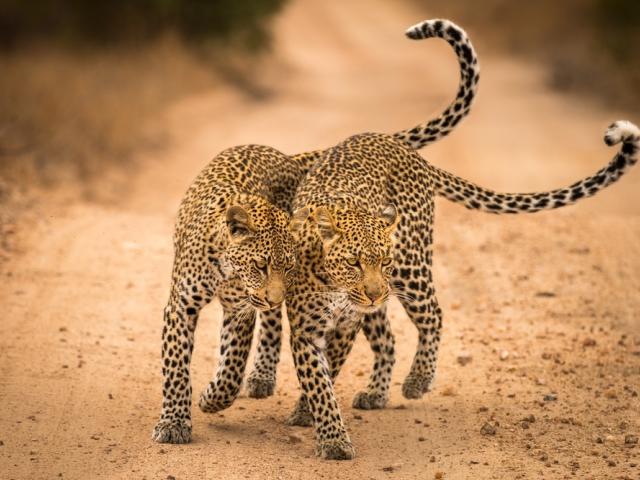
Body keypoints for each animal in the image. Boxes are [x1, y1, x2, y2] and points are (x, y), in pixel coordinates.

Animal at [279, 119, 639, 460]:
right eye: (353, 263)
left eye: (383, 261)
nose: (373, 292)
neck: (332, 283)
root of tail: (400, 145)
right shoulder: (307, 330)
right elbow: (319, 385)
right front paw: (327, 431)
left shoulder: (347, 324)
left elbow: (327, 375)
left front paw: (322, 430)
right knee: (389, 338)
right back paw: (376, 393)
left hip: (410, 267)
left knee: (433, 316)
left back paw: (418, 380)